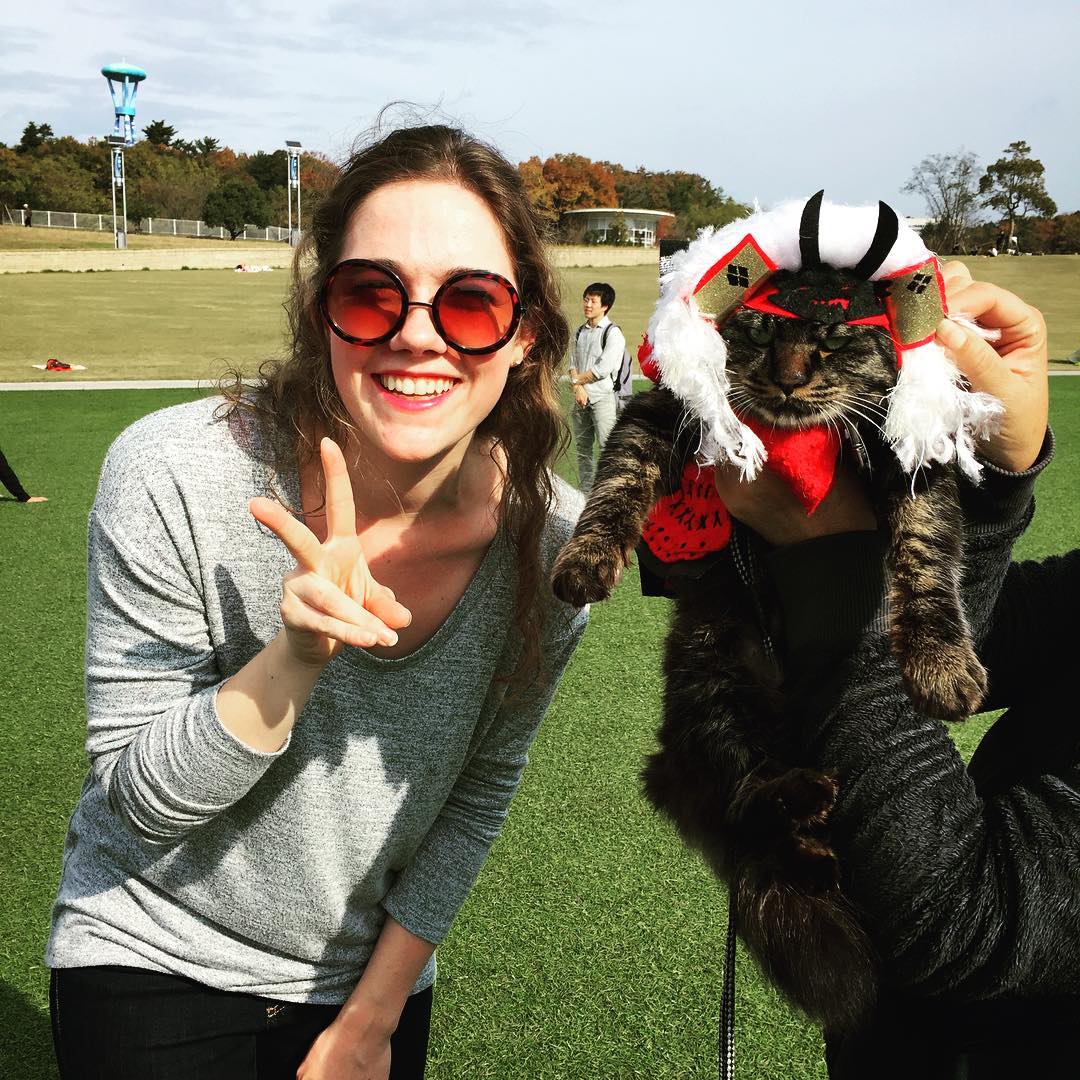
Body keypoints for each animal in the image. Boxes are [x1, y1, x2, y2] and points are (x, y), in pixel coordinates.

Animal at [552, 270, 984, 1028]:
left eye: (834, 337)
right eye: (756, 329)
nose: (787, 379)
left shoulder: (913, 458)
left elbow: (928, 555)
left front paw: (941, 663)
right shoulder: (658, 415)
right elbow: (617, 485)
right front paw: (586, 559)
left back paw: (814, 844)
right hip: (713, 680)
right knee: (744, 804)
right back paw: (800, 812)